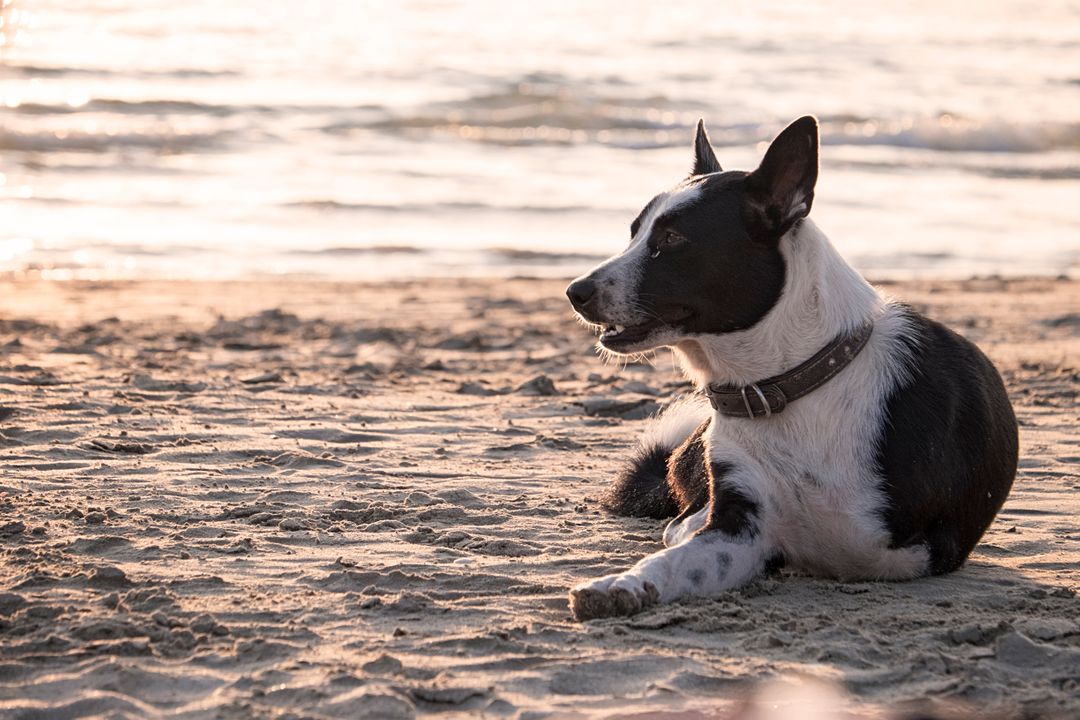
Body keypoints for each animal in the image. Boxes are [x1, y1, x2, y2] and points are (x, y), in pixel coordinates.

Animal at [570, 117, 1015, 621]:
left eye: (671, 240)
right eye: (634, 234)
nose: (575, 291)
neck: (781, 385)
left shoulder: (914, 550)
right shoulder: (738, 529)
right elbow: (674, 559)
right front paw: (625, 584)